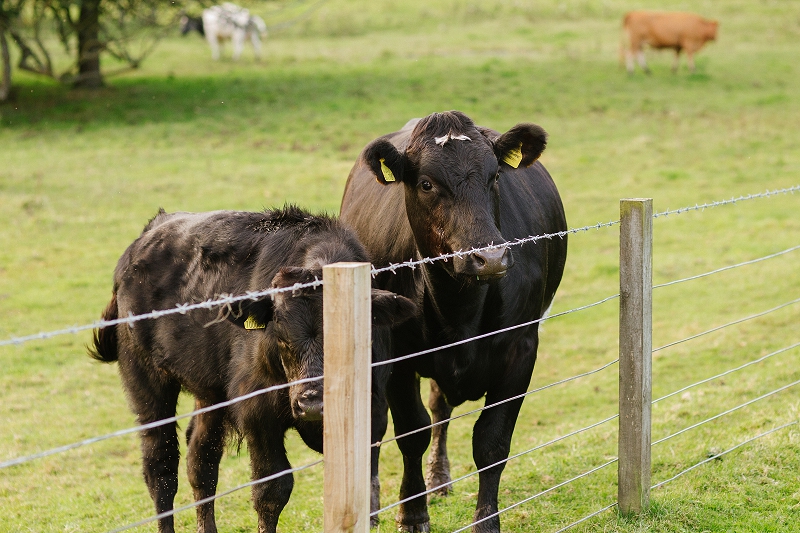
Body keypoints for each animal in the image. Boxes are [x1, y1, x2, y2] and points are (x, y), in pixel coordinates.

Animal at [90, 207, 416, 532]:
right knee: (161, 465)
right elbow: (271, 490)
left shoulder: (374, 408)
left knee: (201, 461)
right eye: (280, 335)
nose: (312, 403)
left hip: (210, 394)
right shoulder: (258, 411)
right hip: (146, 382)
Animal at [340, 110, 568, 528]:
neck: (460, 309)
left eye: (495, 176)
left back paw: (439, 478)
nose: (490, 258)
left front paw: (486, 521)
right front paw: (412, 514)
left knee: (439, 409)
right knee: (376, 423)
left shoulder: (521, 348)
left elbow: (491, 443)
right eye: (427, 183)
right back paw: (373, 502)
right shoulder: (398, 353)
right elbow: (410, 433)